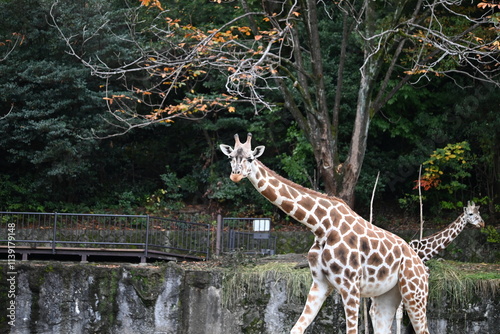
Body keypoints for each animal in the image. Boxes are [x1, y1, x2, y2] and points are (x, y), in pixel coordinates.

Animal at [221, 134, 432, 334]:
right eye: (230, 157)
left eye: (250, 158)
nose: (235, 176)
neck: (320, 226)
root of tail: (421, 265)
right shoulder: (320, 283)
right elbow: (296, 328)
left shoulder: (350, 285)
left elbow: (351, 331)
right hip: (386, 296)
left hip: (414, 293)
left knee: (423, 329)